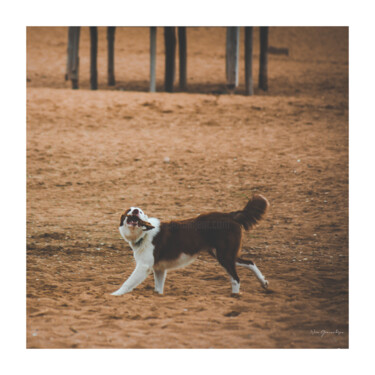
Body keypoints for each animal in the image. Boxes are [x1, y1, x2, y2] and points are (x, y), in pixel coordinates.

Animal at [111, 197, 270, 296]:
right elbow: (158, 289)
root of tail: (230, 215)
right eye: (129, 210)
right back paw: (264, 283)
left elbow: (127, 283)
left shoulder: (144, 266)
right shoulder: (159, 268)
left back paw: (235, 296)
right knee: (250, 262)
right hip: (224, 254)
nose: (135, 211)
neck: (144, 234)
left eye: (141, 211)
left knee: (236, 278)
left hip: (224, 255)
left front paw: (114, 295)